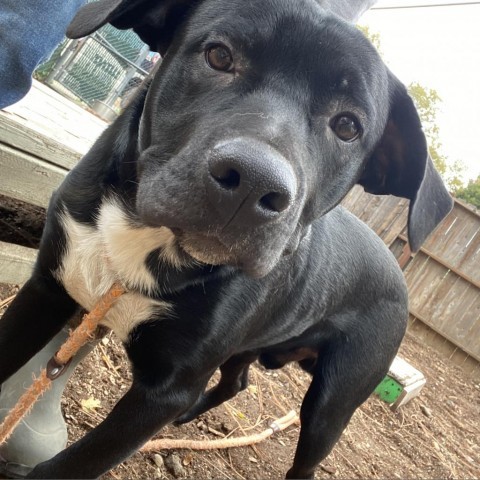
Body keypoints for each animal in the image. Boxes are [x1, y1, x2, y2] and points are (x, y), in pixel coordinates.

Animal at [0, 0, 452, 476]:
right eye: (219, 55)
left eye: (347, 126)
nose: (254, 183)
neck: (151, 240)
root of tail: (399, 277)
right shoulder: (46, 290)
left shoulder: (166, 390)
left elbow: (71, 466)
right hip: (251, 345)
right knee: (238, 380)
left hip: (332, 405)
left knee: (305, 456)